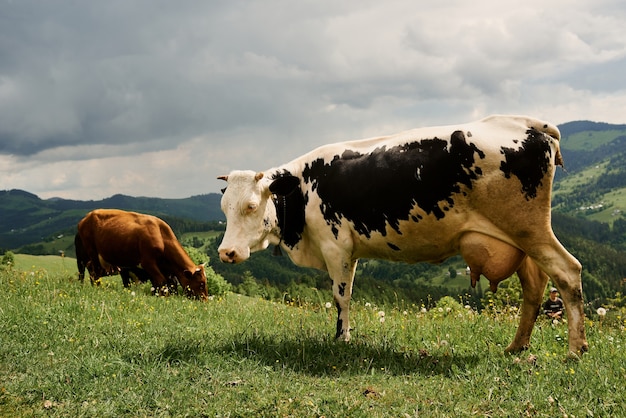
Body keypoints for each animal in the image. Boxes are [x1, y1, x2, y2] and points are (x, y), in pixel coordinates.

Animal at [77, 209, 208, 300]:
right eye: (201, 283)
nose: (205, 301)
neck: (162, 236)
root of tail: (86, 218)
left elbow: (164, 283)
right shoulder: (147, 262)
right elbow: (161, 281)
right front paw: (163, 298)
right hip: (92, 254)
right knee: (93, 274)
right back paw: (97, 290)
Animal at [217, 116, 588, 358]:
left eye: (251, 206)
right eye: (224, 208)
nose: (226, 252)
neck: (303, 189)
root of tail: (529, 124)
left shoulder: (335, 245)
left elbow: (340, 297)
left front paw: (341, 340)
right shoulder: (348, 250)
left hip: (528, 229)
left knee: (568, 271)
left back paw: (575, 349)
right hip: (520, 240)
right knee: (535, 286)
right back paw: (517, 346)